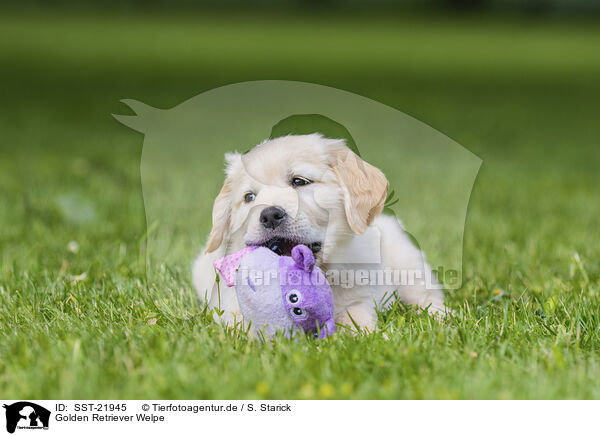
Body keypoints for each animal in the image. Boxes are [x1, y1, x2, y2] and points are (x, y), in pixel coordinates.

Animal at [192, 133, 446, 330]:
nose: (270, 215)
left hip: (409, 267)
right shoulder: (228, 305)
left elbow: (357, 320)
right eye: (249, 197)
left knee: (429, 297)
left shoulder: (360, 298)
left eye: (299, 181)